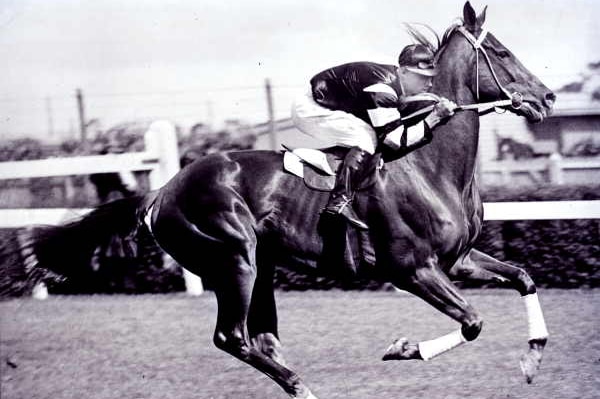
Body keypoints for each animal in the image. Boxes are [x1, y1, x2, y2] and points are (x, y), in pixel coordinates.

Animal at [24, 3, 556, 399]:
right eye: (503, 52)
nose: (548, 97)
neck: (430, 166)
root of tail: (161, 192)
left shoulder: (458, 259)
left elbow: (523, 277)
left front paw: (532, 357)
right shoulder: (411, 269)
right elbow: (473, 322)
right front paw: (403, 348)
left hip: (260, 266)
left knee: (263, 340)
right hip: (234, 260)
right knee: (232, 337)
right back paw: (300, 384)